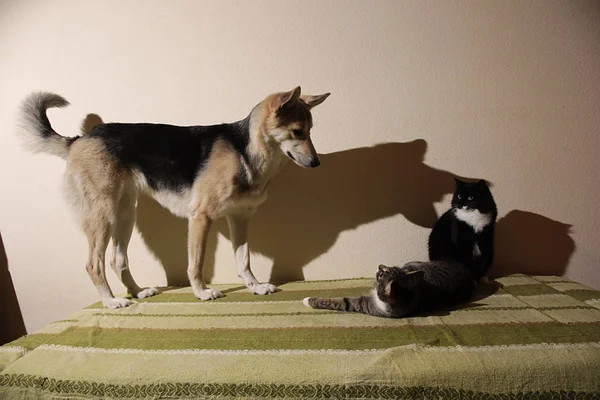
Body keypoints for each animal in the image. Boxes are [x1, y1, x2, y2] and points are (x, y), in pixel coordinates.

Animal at [18, 86, 330, 308]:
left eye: (310, 131)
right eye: (297, 132)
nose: (316, 163)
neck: (245, 149)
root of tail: (79, 139)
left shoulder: (240, 219)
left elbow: (244, 260)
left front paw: (255, 287)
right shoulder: (201, 218)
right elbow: (196, 263)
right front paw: (201, 292)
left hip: (124, 215)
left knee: (118, 261)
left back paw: (137, 292)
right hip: (103, 216)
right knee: (93, 263)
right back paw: (110, 301)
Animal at [302, 260, 476, 318]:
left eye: (381, 274)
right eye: (386, 268)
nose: (380, 265)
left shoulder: (365, 305)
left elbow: (339, 301)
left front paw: (307, 299)